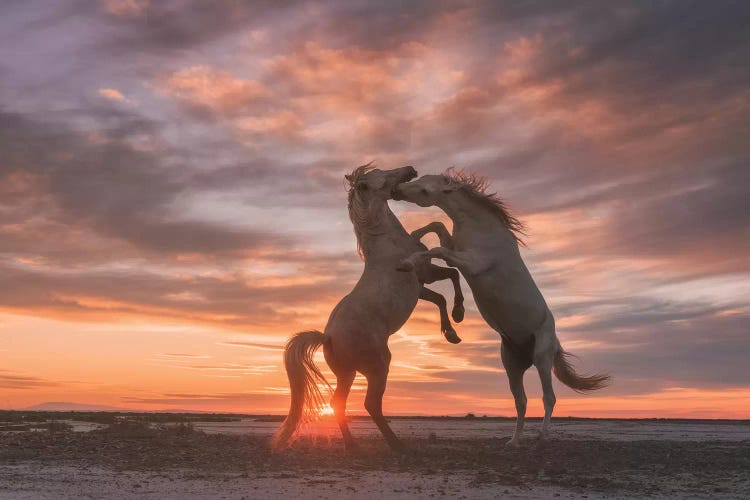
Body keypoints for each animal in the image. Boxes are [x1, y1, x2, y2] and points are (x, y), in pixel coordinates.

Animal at [274, 165, 468, 454]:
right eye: (381, 174)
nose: (410, 170)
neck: (389, 243)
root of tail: (328, 337)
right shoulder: (427, 273)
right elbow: (453, 275)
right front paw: (459, 314)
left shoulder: (421, 287)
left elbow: (440, 298)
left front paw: (451, 333)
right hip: (378, 367)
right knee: (370, 404)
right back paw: (397, 445)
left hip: (347, 374)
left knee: (338, 403)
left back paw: (352, 445)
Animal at [394, 170, 612, 448]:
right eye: (418, 179)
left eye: (424, 190)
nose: (397, 191)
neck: (482, 229)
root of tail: (554, 342)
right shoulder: (458, 250)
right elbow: (438, 227)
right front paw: (415, 235)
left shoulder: (473, 262)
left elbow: (438, 249)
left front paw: (408, 262)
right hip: (512, 366)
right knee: (521, 401)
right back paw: (514, 442)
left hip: (542, 359)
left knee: (548, 397)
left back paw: (541, 437)